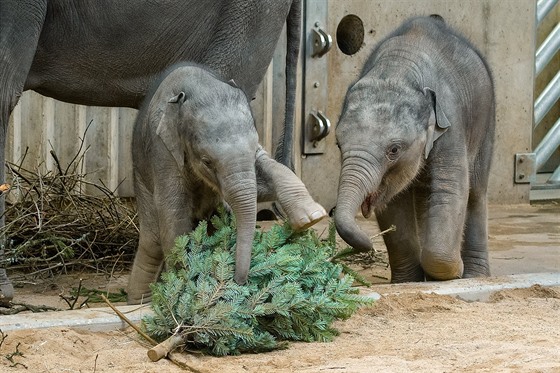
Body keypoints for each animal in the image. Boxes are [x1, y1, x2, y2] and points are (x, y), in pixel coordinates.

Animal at [129, 63, 326, 302]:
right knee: (152, 241)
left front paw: (312, 218)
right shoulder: (162, 150)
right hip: (141, 180)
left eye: (254, 150)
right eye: (206, 161)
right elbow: (173, 212)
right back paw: (139, 301)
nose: (238, 281)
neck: (198, 87)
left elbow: (262, 182)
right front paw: (188, 282)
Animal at [332, 16, 494, 280]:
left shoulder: (451, 122)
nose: (369, 244)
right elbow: (393, 206)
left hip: (486, 122)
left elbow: (450, 188)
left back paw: (475, 276)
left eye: (394, 150)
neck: (398, 69)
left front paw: (455, 272)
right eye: (338, 144)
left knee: (477, 192)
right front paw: (407, 282)